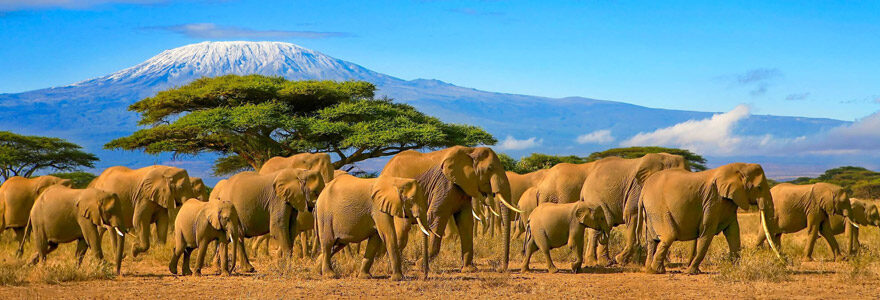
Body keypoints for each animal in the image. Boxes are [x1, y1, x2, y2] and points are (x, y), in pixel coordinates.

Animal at [380, 145, 520, 272]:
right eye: (490, 168)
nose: (501, 269)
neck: (470, 150)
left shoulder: (463, 186)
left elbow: (466, 221)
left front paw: (469, 269)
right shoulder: (445, 184)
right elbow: (437, 216)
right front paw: (420, 265)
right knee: (402, 229)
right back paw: (391, 268)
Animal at [640, 163, 776, 276]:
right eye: (759, 187)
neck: (739, 167)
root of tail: (643, 190)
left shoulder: (729, 202)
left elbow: (733, 233)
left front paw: (735, 270)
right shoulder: (713, 200)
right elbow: (707, 233)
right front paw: (691, 272)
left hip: (650, 211)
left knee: (652, 240)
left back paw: (651, 270)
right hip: (657, 207)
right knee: (669, 236)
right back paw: (656, 270)